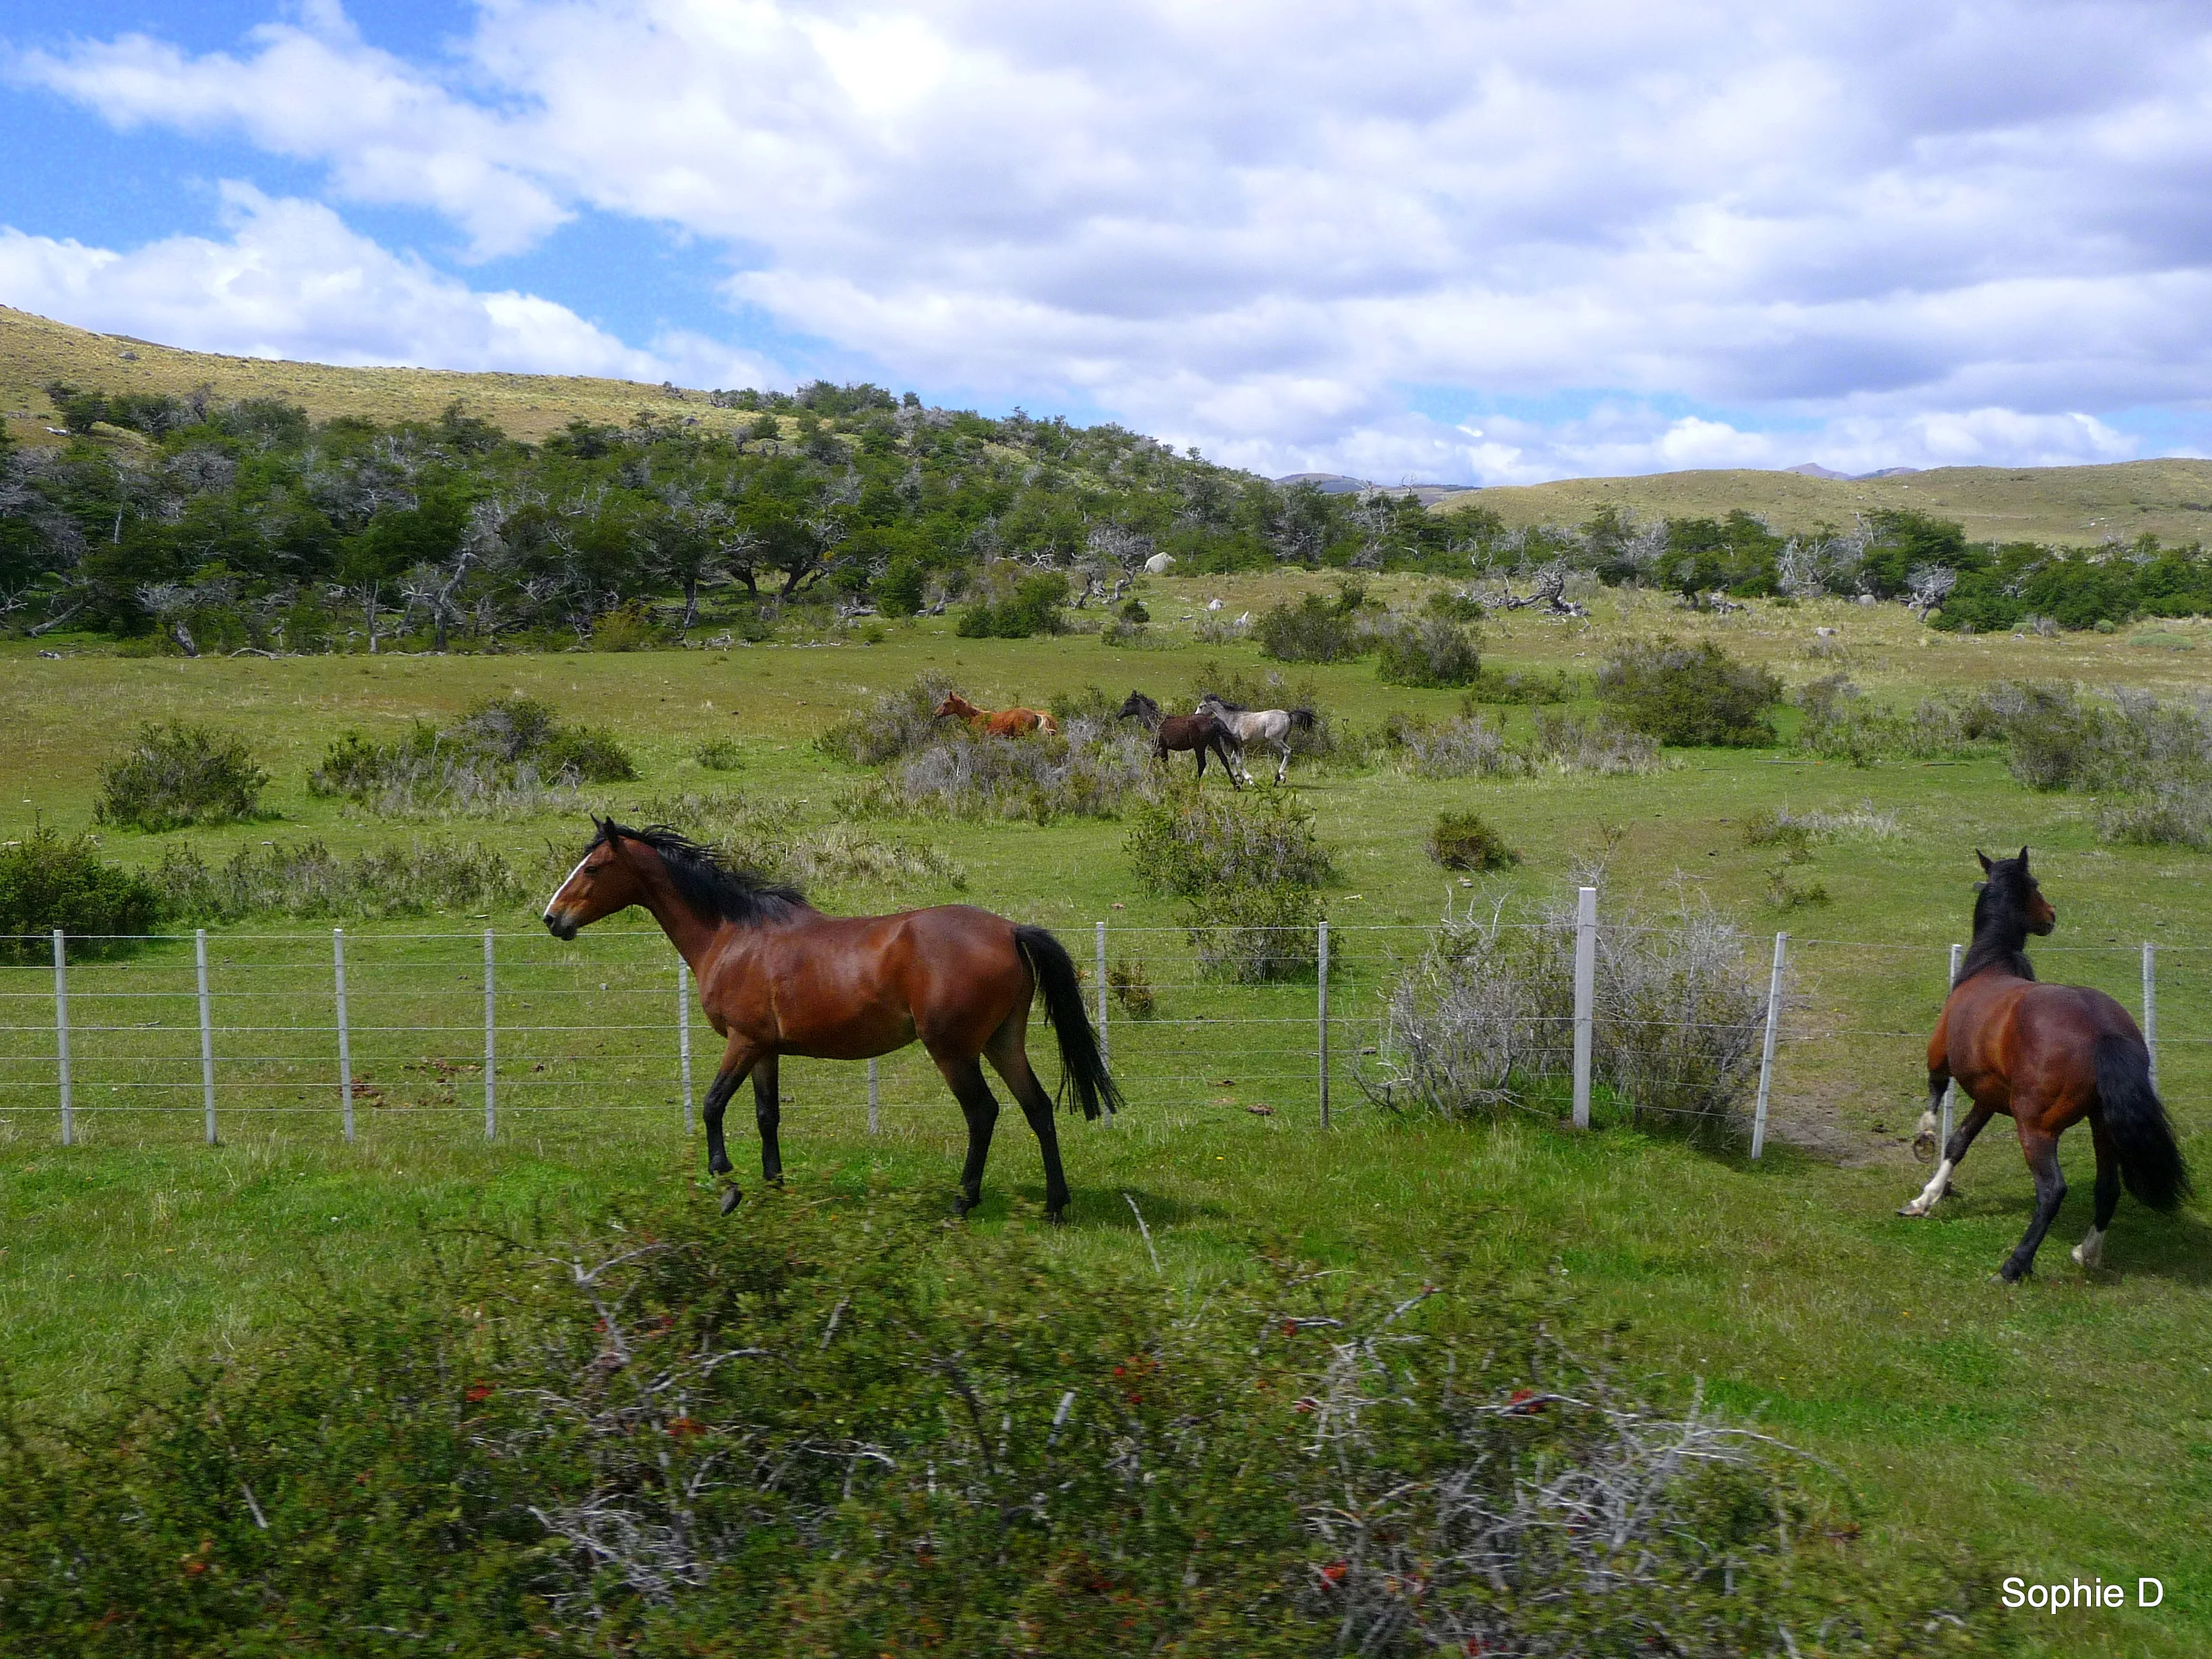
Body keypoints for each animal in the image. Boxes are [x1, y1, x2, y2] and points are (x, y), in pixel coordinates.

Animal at [544, 820, 1119, 1221]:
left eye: (591, 869)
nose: (552, 919)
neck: (733, 935)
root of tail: (1010, 931)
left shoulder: (742, 1041)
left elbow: (711, 1106)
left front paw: (727, 1186)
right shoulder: (765, 1050)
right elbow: (767, 1117)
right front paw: (774, 1187)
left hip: (953, 1050)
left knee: (983, 1114)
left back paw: (962, 1202)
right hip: (1003, 1043)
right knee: (1038, 1108)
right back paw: (1054, 1205)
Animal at [1116, 691, 1242, 787]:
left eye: (1128, 702)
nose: (1117, 715)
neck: (1155, 722)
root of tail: (1211, 721)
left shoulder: (1162, 747)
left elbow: (1165, 764)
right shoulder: (1159, 748)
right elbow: (1153, 760)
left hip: (1199, 746)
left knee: (1202, 763)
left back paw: (1195, 782)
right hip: (1214, 742)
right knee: (1224, 760)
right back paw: (1236, 785)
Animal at [1195, 694, 1316, 785]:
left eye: (1201, 706)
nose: (1195, 716)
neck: (1231, 719)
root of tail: (1288, 714)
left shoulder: (1237, 743)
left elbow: (1239, 762)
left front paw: (1249, 779)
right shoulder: (1237, 744)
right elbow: (1233, 760)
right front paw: (1239, 778)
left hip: (1276, 740)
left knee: (1288, 751)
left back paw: (1280, 776)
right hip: (1284, 738)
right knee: (1285, 754)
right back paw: (1279, 777)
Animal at [1898, 849, 2192, 1281]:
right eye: (2037, 887)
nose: (2052, 914)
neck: (1990, 966)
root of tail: (2102, 1030)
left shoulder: (1940, 1061)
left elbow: (1935, 1100)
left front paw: (1924, 1140)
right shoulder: (1988, 1097)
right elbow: (1959, 1142)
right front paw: (1925, 1199)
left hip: (2036, 1129)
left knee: (2053, 1191)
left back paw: (2014, 1266)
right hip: (2102, 1125)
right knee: (2108, 1189)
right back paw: (2087, 1253)